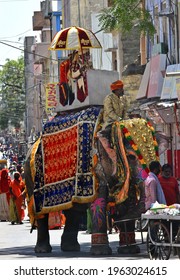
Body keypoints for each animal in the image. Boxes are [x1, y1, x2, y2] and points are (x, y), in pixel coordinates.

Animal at [23, 104, 160, 254]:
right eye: (131, 157)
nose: (116, 218)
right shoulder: (93, 166)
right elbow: (98, 200)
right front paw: (101, 252)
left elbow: (128, 198)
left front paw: (130, 250)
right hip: (30, 174)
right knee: (41, 213)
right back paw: (43, 250)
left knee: (74, 210)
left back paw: (70, 248)